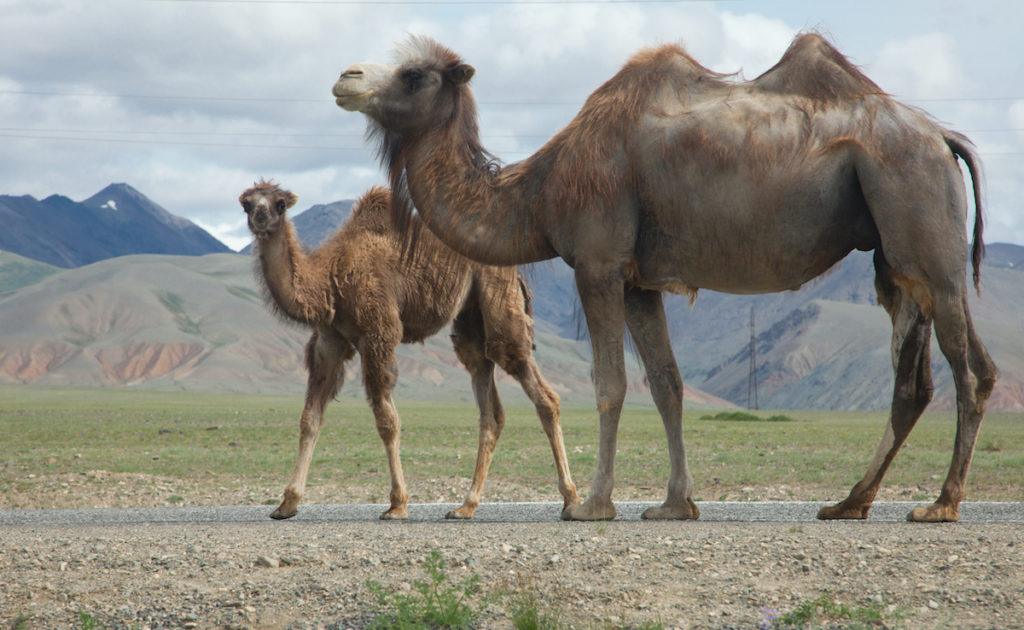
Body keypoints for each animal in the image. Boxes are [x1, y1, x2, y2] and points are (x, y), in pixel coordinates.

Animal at [237, 180, 577, 520]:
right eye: (247, 203)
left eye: (280, 203)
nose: (260, 217)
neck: (331, 280)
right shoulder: (329, 342)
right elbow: (310, 418)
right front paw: (287, 503)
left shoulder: (379, 332)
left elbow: (387, 422)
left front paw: (397, 504)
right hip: (471, 317)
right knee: (488, 399)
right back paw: (465, 506)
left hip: (497, 292)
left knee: (539, 389)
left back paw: (570, 499)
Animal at [333, 33, 999, 522]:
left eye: (414, 75)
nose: (345, 77)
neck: (541, 191)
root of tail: (942, 136)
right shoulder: (639, 280)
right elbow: (668, 384)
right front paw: (676, 503)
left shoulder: (597, 262)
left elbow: (610, 383)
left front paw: (591, 506)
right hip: (897, 259)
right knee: (918, 380)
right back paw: (850, 502)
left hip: (922, 225)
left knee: (971, 370)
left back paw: (940, 505)